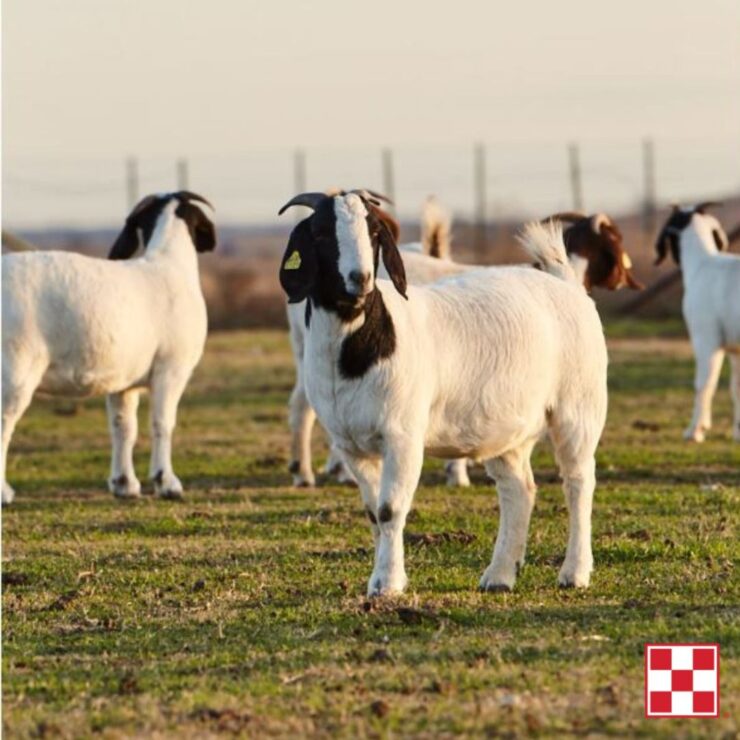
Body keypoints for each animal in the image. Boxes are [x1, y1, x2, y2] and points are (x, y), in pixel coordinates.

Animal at [1, 191, 217, 502]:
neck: (168, 265)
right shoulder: (171, 368)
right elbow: (162, 423)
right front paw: (167, 483)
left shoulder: (122, 382)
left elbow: (123, 427)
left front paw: (125, 484)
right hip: (15, 369)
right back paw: (4, 493)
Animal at [278, 189, 608, 596]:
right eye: (322, 233)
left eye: (375, 233)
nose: (361, 278)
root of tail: (566, 284)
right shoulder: (351, 445)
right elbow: (373, 513)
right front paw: (381, 578)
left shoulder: (402, 435)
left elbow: (390, 509)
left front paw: (388, 584)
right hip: (507, 429)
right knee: (519, 489)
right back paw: (499, 575)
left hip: (578, 407)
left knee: (578, 482)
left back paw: (574, 573)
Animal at [656, 202, 736, 442]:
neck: (703, 263)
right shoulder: (734, 348)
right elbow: (736, 388)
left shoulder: (706, 340)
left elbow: (704, 384)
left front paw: (694, 431)